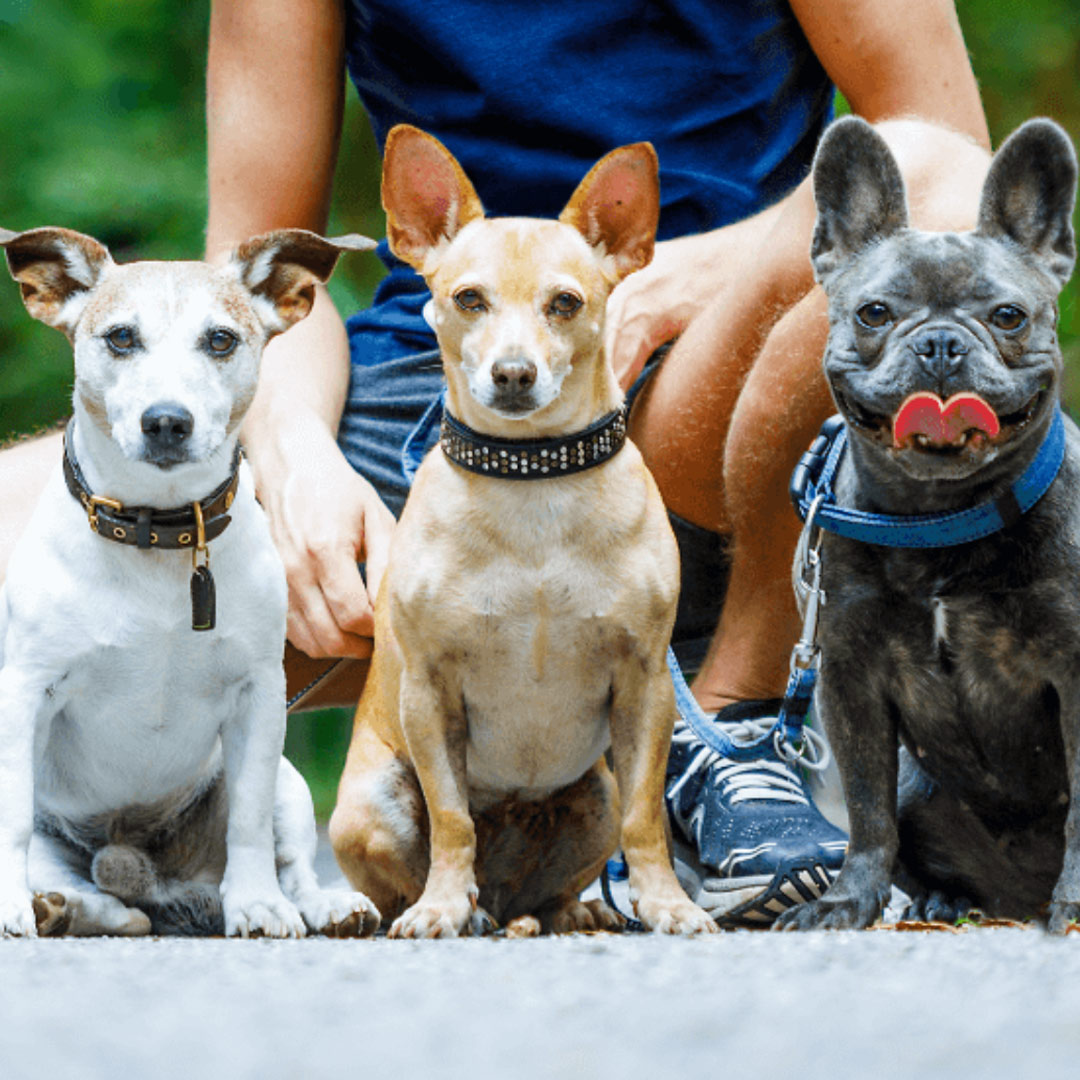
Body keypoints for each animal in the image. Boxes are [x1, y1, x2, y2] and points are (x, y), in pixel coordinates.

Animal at [0, 225, 380, 937]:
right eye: (121, 337)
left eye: (221, 340)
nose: (167, 421)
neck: (158, 532)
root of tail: (167, 884)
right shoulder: (24, 694)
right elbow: (9, 818)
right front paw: (9, 906)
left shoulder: (259, 700)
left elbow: (251, 824)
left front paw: (258, 903)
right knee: (86, 888)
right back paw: (67, 906)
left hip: (288, 781)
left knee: (291, 859)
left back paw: (322, 905)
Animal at [328, 126, 717, 937]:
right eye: (467, 299)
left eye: (565, 303)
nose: (513, 373)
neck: (533, 478)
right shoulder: (430, 693)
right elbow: (451, 819)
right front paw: (442, 904)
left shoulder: (645, 687)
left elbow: (646, 820)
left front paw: (665, 903)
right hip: (368, 805)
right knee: (410, 877)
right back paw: (412, 910)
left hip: (594, 797)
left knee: (557, 882)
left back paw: (568, 914)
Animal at [777, 113, 1080, 933]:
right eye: (874, 313)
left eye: (1008, 317)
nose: (941, 342)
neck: (943, 520)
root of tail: (1015, 902)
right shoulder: (849, 675)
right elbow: (867, 809)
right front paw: (848, 901)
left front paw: (1076, 907)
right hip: (924, 792)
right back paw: (946, 899)